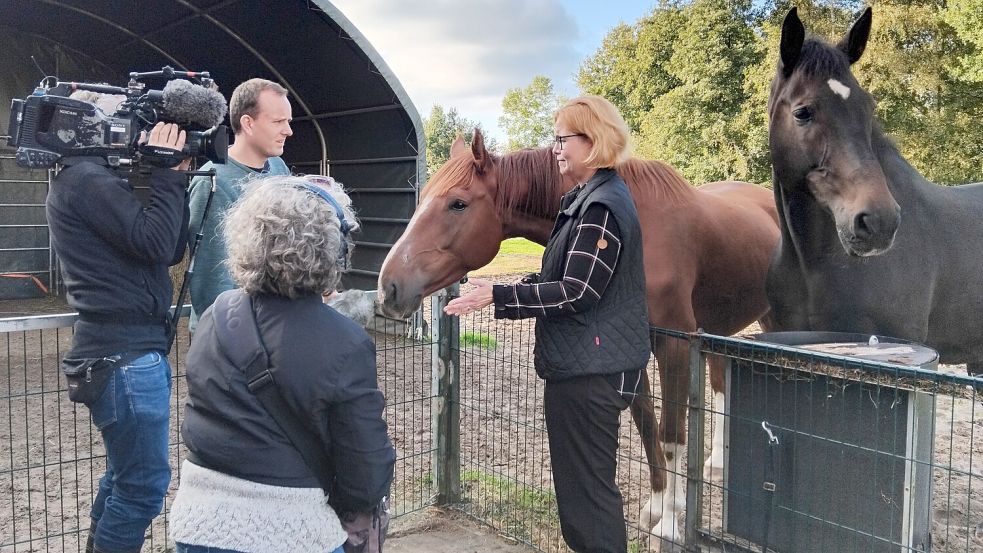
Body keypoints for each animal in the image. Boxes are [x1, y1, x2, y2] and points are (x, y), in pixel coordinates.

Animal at [376, 130, 776, 544]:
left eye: (458, 203)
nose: (388, 286)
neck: (644, 227)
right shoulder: (633, 349)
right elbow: (648, 429)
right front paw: (656, 506)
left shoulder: (675, 344)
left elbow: (671, 434)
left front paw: (669, 525)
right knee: (720, 382)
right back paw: (715, 464)